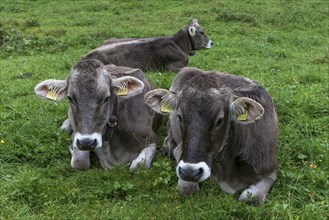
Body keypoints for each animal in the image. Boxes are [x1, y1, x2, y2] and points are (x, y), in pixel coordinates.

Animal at [145, 67, 278, 205]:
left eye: (219, 120)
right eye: (180, 116)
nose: (190, 172)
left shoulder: (270, 170)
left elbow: (251, 199)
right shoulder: (181, 151)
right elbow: (187, 189)